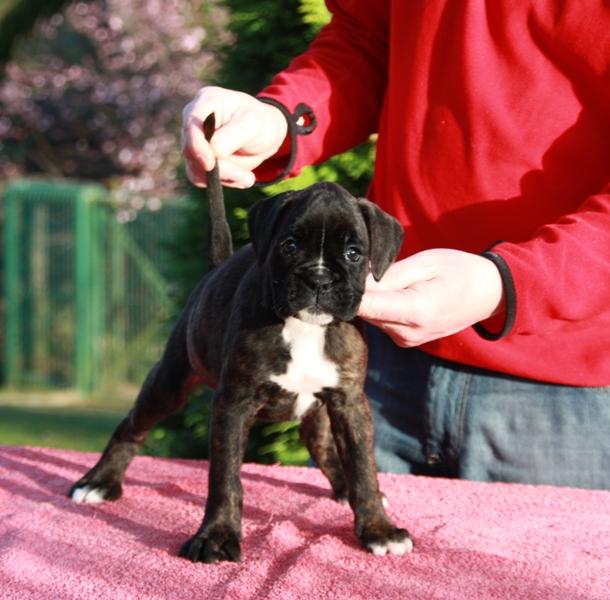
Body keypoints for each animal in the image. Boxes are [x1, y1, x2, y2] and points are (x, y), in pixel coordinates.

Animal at [69, 182, 410, 564]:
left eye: (354, 253)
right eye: (289, 246)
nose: (318, 278)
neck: (304, 327)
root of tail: (213, 272)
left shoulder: (350, 403)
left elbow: (364, 467)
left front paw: (379, 529)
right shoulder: (233, 403)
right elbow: (225, 477)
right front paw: (216, 536)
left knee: (319, 443)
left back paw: (344, 488)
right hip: (170, 382)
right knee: (131, 425)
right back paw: (99, 482)